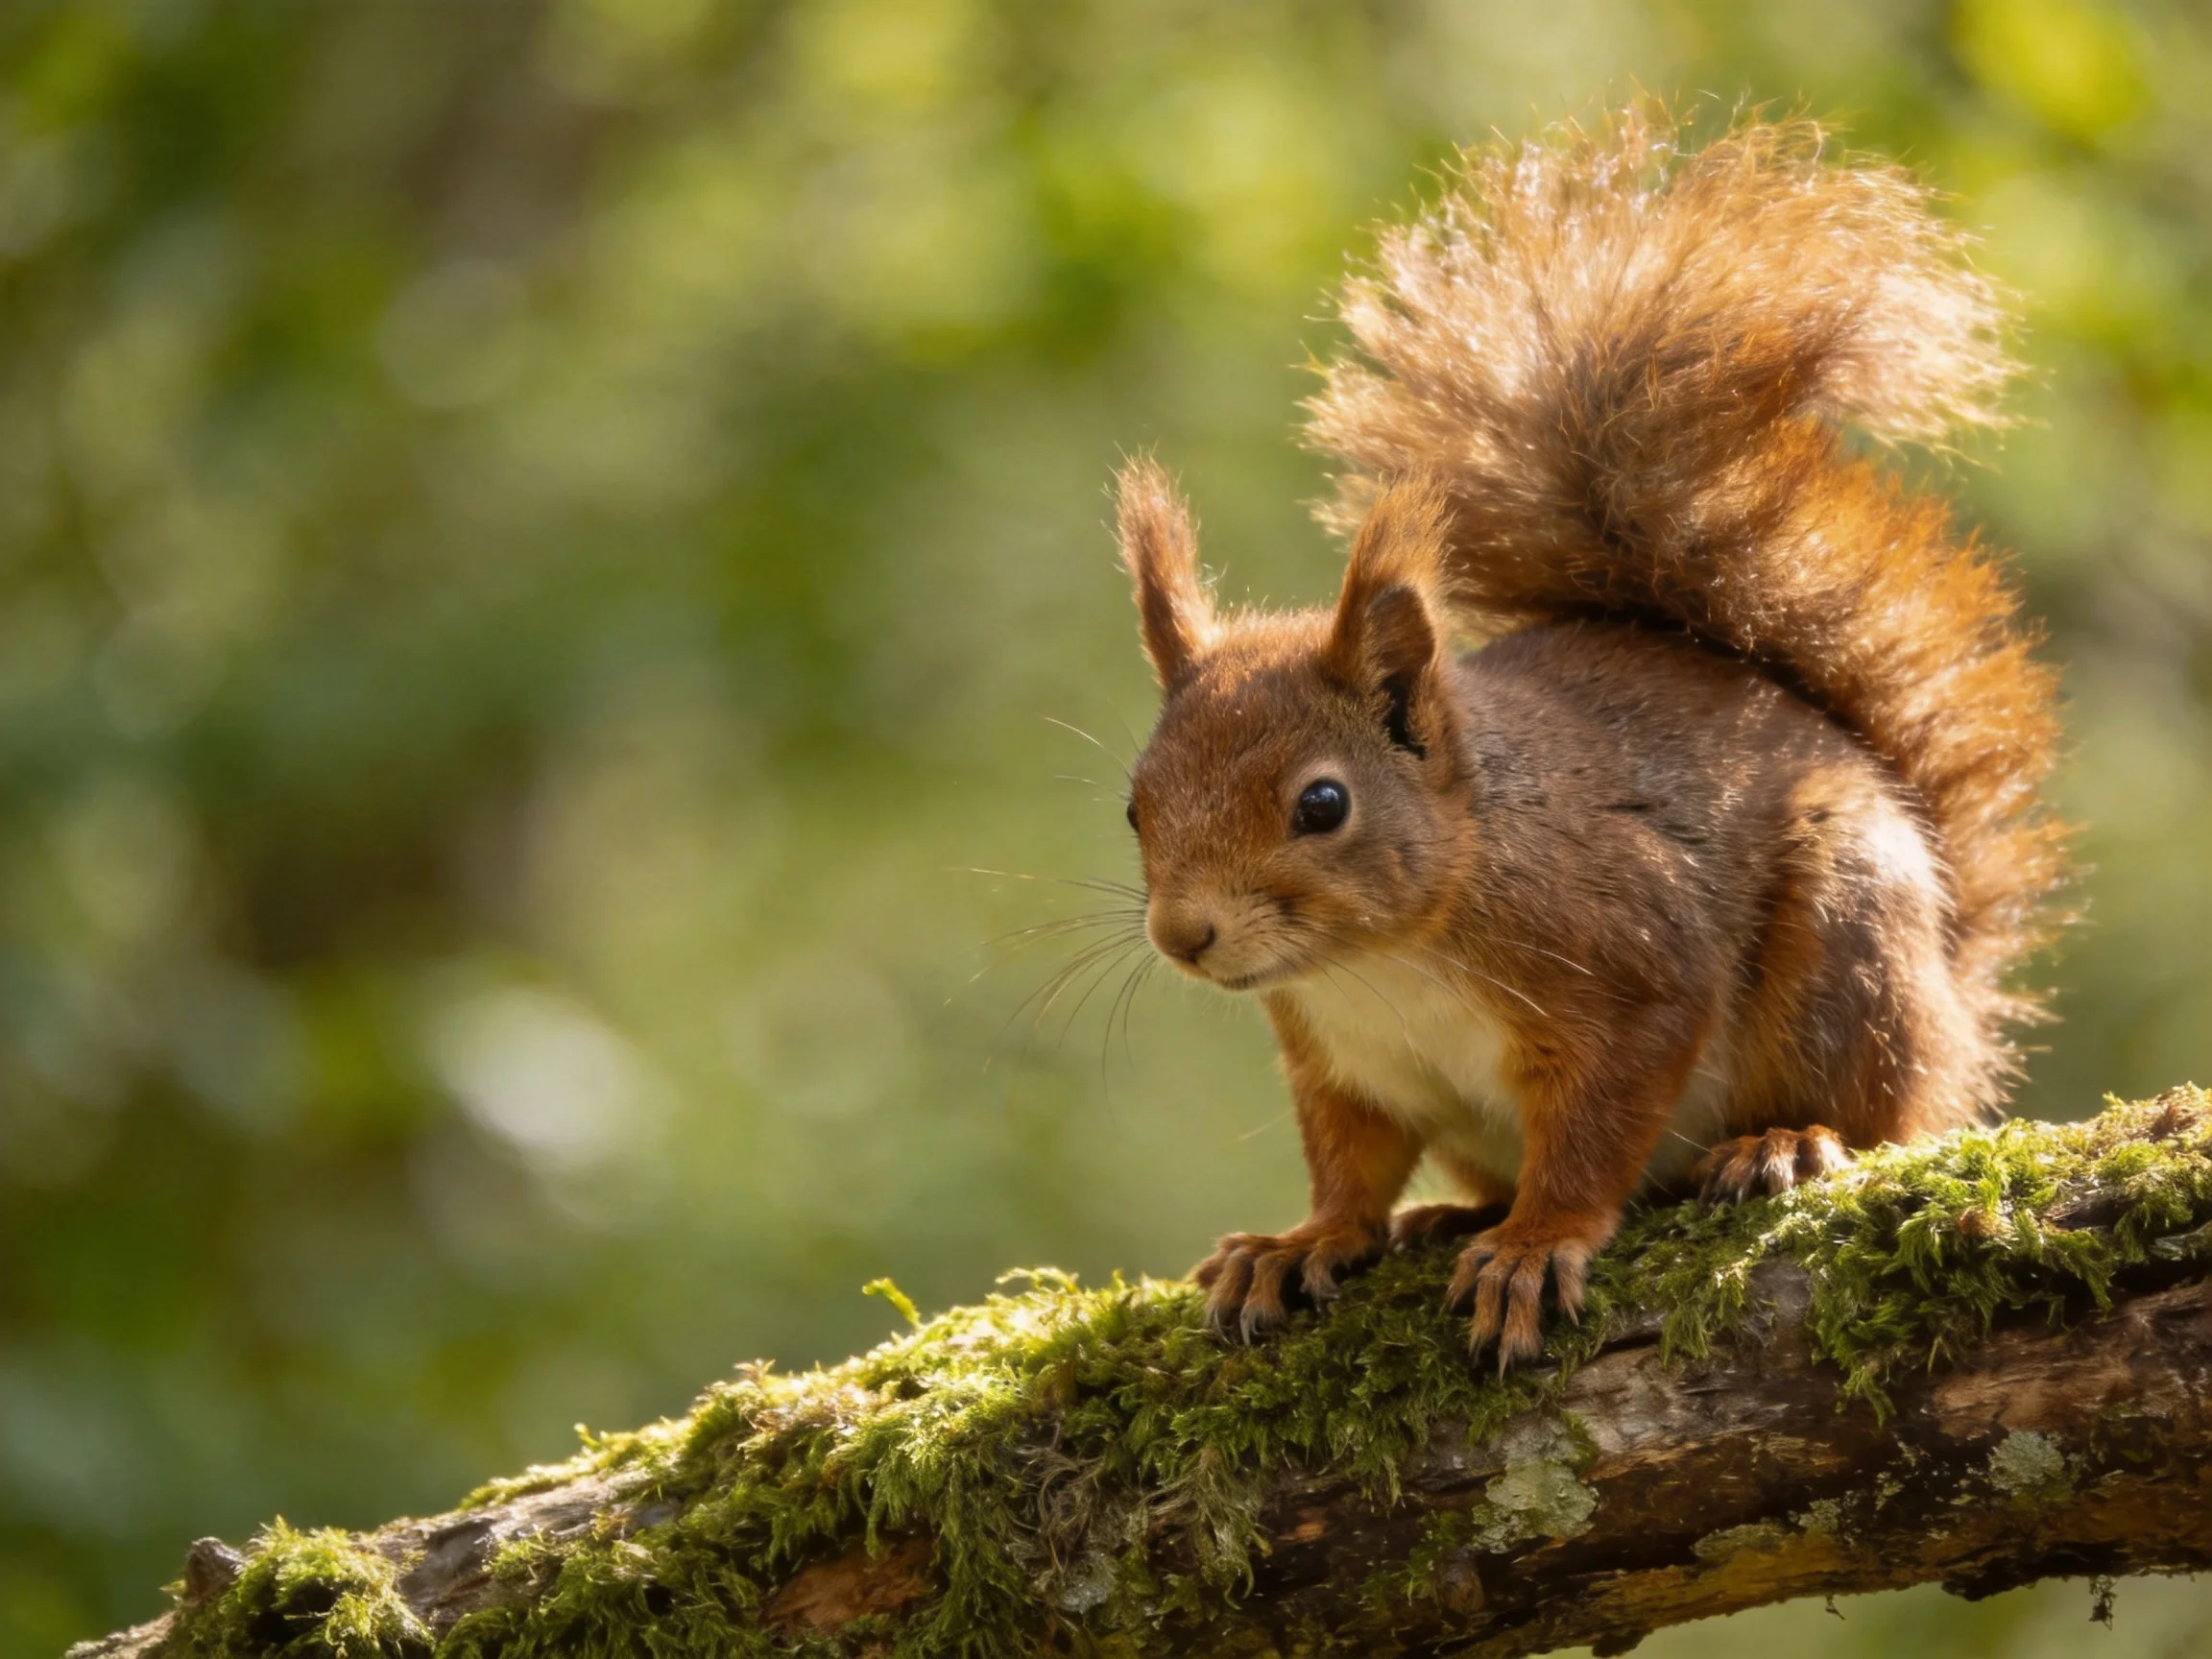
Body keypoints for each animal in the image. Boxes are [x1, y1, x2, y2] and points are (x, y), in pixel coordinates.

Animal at [1107, 105, 2068, 1368]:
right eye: (1134, 806)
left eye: (1323, 804)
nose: (1185, 935)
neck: (1383, 960)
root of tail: (1960, 991)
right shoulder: (1338, 1060)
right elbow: (1349, 1164)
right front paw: (1304, 1240)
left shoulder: (1627, 964)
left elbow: (1601, 1124)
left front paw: (1535, 1243)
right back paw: (1448, 1213)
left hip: (1851, 950)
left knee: (1889, 1116)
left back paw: (1787, 1144)